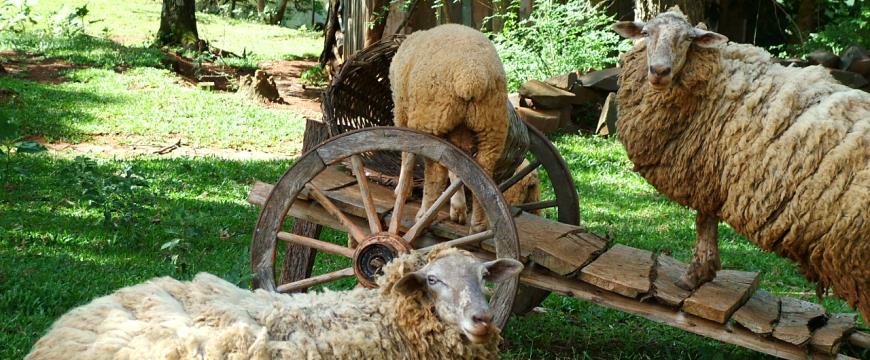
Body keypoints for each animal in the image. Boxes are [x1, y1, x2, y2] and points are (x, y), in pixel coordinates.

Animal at [394, 23, 528, 231]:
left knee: (436, 173)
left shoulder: (402, 112)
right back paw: (478, 224)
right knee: (482, 170)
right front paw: (457, 208)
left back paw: (425, 214)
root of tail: (471, 76)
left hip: (432, 119)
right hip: (491, 124)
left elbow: (407, 156)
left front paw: (402, 191)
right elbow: (457, 169)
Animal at [612, 7, 870, 320]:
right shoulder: (710, 174)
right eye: (646, 33)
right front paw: (703, 272)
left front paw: (694, 276)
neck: (719, 79)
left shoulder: (706, 172)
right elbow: (707, 221)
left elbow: (703, 222)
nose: (659, 72)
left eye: (687, 39)